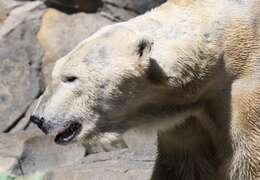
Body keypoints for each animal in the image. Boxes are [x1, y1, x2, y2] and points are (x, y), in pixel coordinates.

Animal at [31, 0, 260, 179]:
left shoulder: (241, 90)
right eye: (55, 73)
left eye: (71, 78)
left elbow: (246, 160)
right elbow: (183, 163)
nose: (37, 118)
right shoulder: (186, 115)